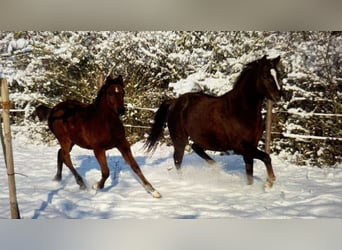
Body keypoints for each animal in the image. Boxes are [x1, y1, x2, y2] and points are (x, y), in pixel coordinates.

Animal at [146, 55, 282, 188]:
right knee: (178, 160)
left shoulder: (250, 147)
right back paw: (183, 181)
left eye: (278, 75)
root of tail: (174, 102)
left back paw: (216, 166)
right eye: (265, 76)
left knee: (195, 147)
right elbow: (266, 157)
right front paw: (269, 182)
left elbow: (250, 174)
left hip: (202, 138)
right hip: (180, 139)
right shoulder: (240, 147)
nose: (278, 96)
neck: (240, 110)